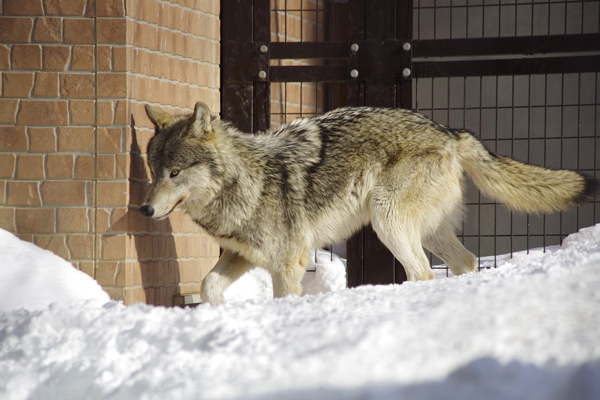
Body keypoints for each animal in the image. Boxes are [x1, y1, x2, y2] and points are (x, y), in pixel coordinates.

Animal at [139, 101, 596, 304]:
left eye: (175, 173)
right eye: (153, 170)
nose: (145, 210)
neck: (244, 182)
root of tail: (450, 132)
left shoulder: (287, 263)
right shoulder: (242, 256)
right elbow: (207, 285)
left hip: (386, 219)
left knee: (423, 273)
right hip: (424, 231)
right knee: (465, 262)